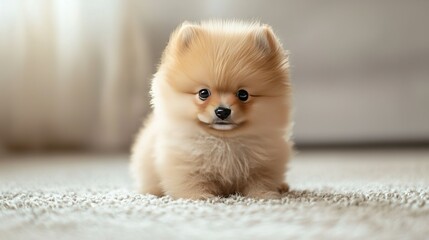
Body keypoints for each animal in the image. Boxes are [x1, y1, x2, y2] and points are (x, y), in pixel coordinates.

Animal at [130, 20, 290, 200]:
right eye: (203, 93)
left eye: (243, 94)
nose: (222, 111)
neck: (224, 141)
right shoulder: (184, 163)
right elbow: (191, 182)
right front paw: (199, 196)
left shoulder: (264, 162)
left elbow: (260, 181)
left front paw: (264, 195)